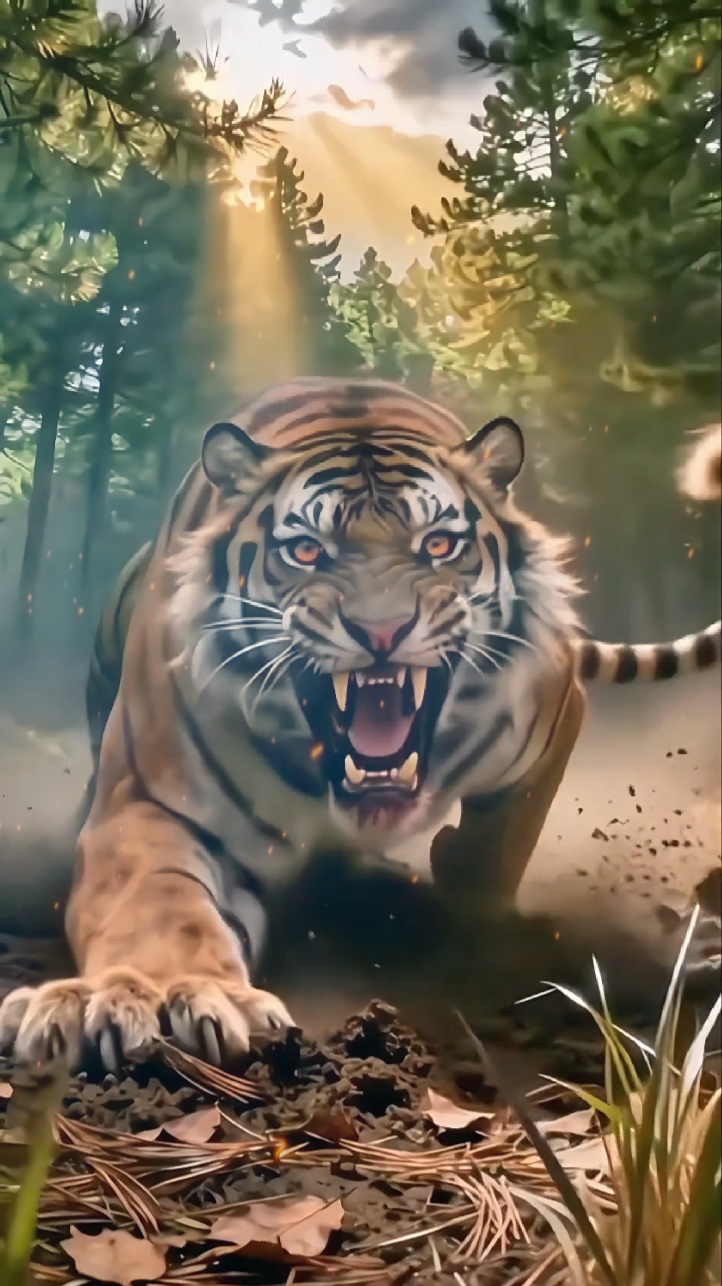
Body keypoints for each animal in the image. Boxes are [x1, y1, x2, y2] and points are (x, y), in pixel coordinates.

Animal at [1, 378, 719, 1071]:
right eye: (306, 551)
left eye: (438, 545)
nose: (381, 630)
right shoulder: (151, 805)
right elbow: (156, 904)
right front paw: (151, 997)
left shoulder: (555, 715)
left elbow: (496, 852)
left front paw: (468, 925)